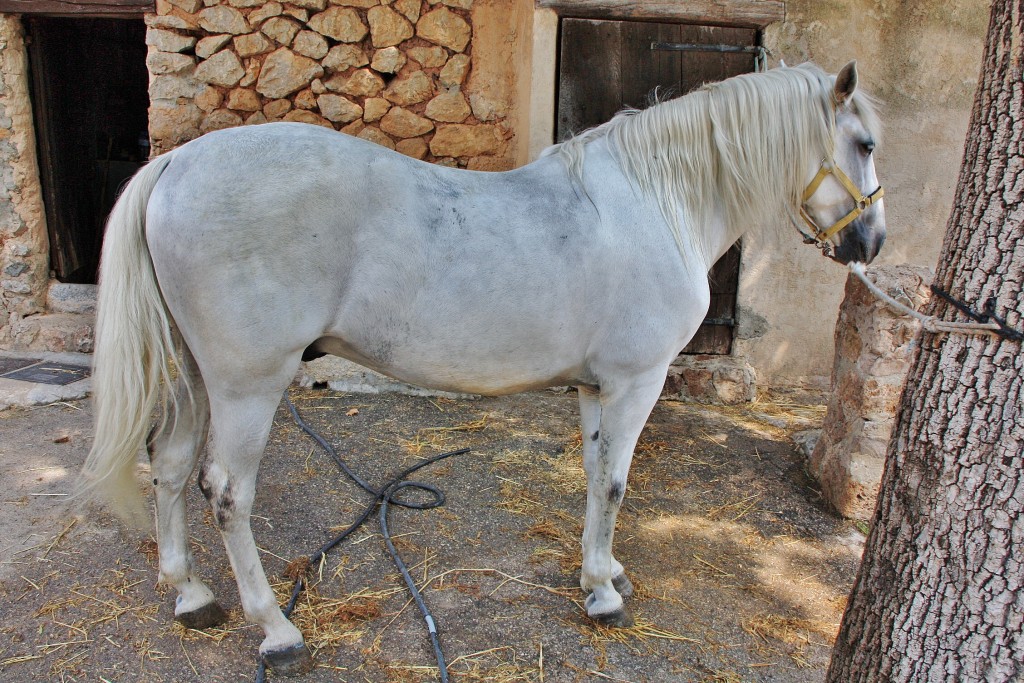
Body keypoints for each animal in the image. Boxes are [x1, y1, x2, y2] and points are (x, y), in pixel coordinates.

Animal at [79, 61, 884, 675]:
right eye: (866, 142)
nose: (871, 242)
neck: (659, 203)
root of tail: (177, 162)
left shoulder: (594, 385)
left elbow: (594, 476)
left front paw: (601, 570)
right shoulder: (635, 381)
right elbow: (617, 483)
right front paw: (604, 595)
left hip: (191, 373)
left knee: (169, 465)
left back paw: (190, 593)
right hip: (247, 386)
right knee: (226, 492)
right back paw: (275, 628)